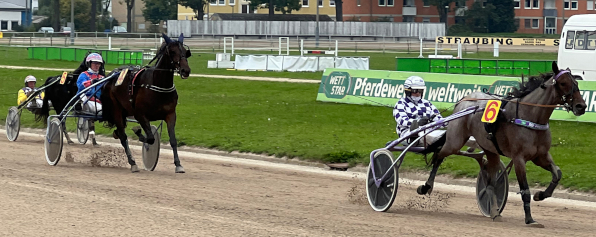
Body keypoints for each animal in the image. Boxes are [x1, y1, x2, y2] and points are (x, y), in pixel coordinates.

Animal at [101, 33, 192, 173]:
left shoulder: (171, 114)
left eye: (185, 52)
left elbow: (173, 140)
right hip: (116, 109)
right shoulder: (140, 115)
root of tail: (111, 76)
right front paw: (138, 132)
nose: (185, 70)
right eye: (172, 52)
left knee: (120, 133)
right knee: (123, 136)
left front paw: (178, 164)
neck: (158, 85)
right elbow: (150, 138)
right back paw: (132, 163)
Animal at [416, 61, 588, 228]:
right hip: (455, 141)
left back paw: (494, 212)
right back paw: (426, 187)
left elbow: (557, 174)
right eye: (563, 83)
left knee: (490, 183)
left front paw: (540, 195)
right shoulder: (519, 158)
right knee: (439, 155)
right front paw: (530, 219)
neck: (530, 117)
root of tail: (465, 98)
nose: (581, 106)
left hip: (490, 150)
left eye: (576, 82)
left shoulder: (541, 156)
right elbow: (525, 190)